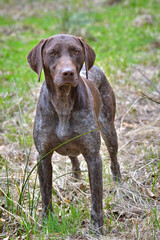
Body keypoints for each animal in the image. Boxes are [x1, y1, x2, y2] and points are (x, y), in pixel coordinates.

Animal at [26, 34, 120, 234]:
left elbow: (96, 199)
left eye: (76, 51)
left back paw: (119, 185)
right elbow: (46, 194)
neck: (62, 103)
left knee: (114, 160)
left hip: (109, 130)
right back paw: (76, 181)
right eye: (52, 53)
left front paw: (97, 228)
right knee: (74, 160)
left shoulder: (93, 157)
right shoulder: (43, 156)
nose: (68, 73)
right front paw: (47, 222)